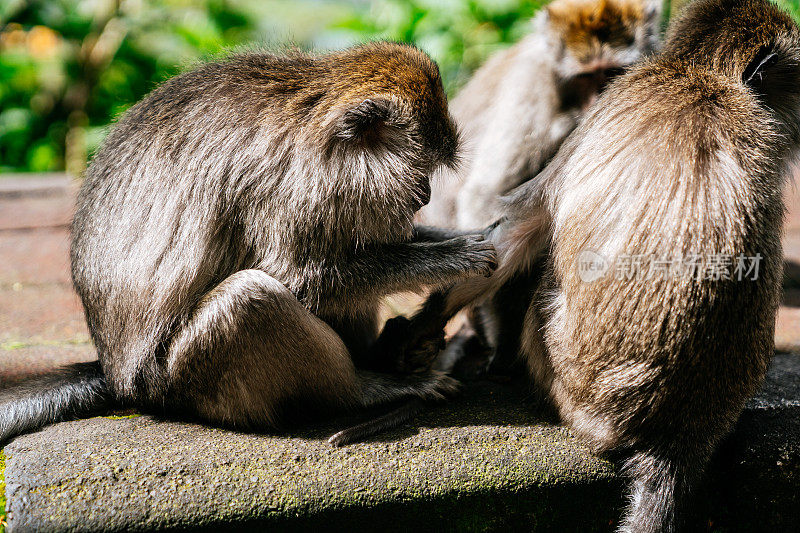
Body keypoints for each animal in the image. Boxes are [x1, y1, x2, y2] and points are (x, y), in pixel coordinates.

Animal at [0, 43, 496, 446]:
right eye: (421, 171)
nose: (425, 196)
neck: (320, 120)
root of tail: (117, 374)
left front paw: (463, 236)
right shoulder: (299, 187)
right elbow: (305, 280)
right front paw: (455, 257)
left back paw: (388, 352)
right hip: (182, 379)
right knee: (249, 298)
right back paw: (366, 388)